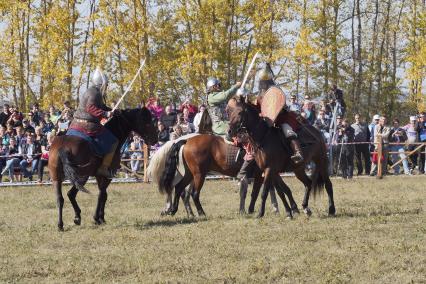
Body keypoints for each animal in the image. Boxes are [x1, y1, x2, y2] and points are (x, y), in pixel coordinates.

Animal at [148, 133, 302, 217]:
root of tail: (186, 140)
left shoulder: (269, 173)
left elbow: (277, 189)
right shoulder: (262, 174)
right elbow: (259, 192)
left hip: (189, 175)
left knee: (179, 189)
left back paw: (175, 210)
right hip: (199, 175)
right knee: (192, 193)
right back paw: (199, 213)